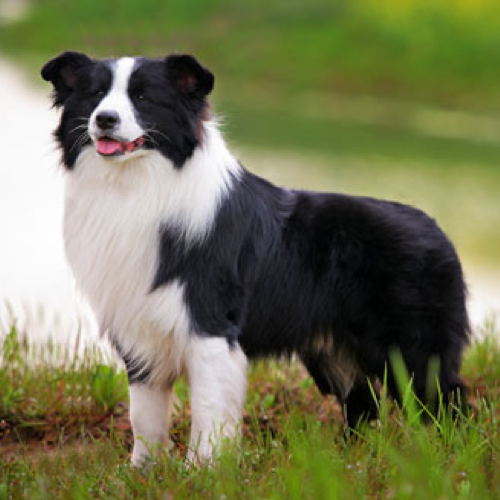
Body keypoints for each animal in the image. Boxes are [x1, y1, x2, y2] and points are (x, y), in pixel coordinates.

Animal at [41, 50, 470, 464]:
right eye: (95, 95)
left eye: (143, 97)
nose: (105, 119)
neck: (135, 185)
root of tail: (439, 230)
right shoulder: (139, 331)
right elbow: (144, 415)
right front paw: (142, 472)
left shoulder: (210, 325)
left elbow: (208, 412)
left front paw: (202, 472)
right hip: (333, 350)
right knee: (363, 405)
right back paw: (352, 463)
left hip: (413, 348)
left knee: (449, 403)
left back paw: (450, 461)